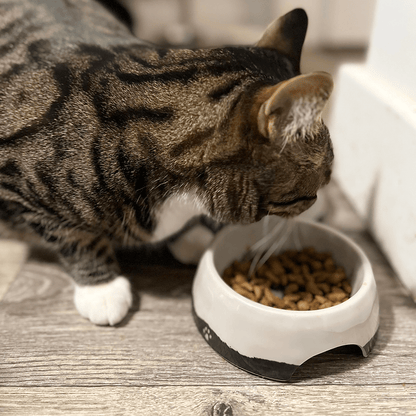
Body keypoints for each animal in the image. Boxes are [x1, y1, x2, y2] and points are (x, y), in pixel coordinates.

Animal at [0, 0, 332, 324]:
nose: (320, 203)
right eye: (322, 180)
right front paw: (102, 290)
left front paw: (192, 237)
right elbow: (74, 238)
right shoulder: (21, 191)